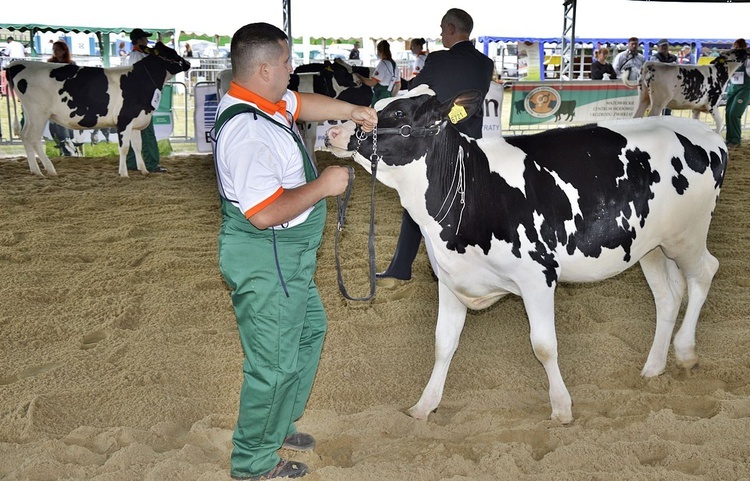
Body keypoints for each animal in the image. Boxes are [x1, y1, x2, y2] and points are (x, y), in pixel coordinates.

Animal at [8, 41, 191, 176]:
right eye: (171, 53)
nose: (188, 63)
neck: (139, 79)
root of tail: (17, 64)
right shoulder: (124, 120)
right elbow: (124, 148)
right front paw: (124, 173)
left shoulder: (136, 121)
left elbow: (137, 146)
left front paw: (144, 170)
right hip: (39, 114)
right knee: (32, 138)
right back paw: (48, 170)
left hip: (30, 114)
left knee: (25, 136)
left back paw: (35, 170)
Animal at [328, 84, 728, 422]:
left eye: (399, 115)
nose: (334, 131)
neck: (472, 187)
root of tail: (705, 133)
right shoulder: (451, 278)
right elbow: (443, 343)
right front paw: (424, 406)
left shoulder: (538, 276)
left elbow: (544, 346)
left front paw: (562, 408)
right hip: (652, 247)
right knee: (668, 295)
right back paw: (653, 367)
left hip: (687, 235)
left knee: (705, 272)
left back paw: (685, 351)